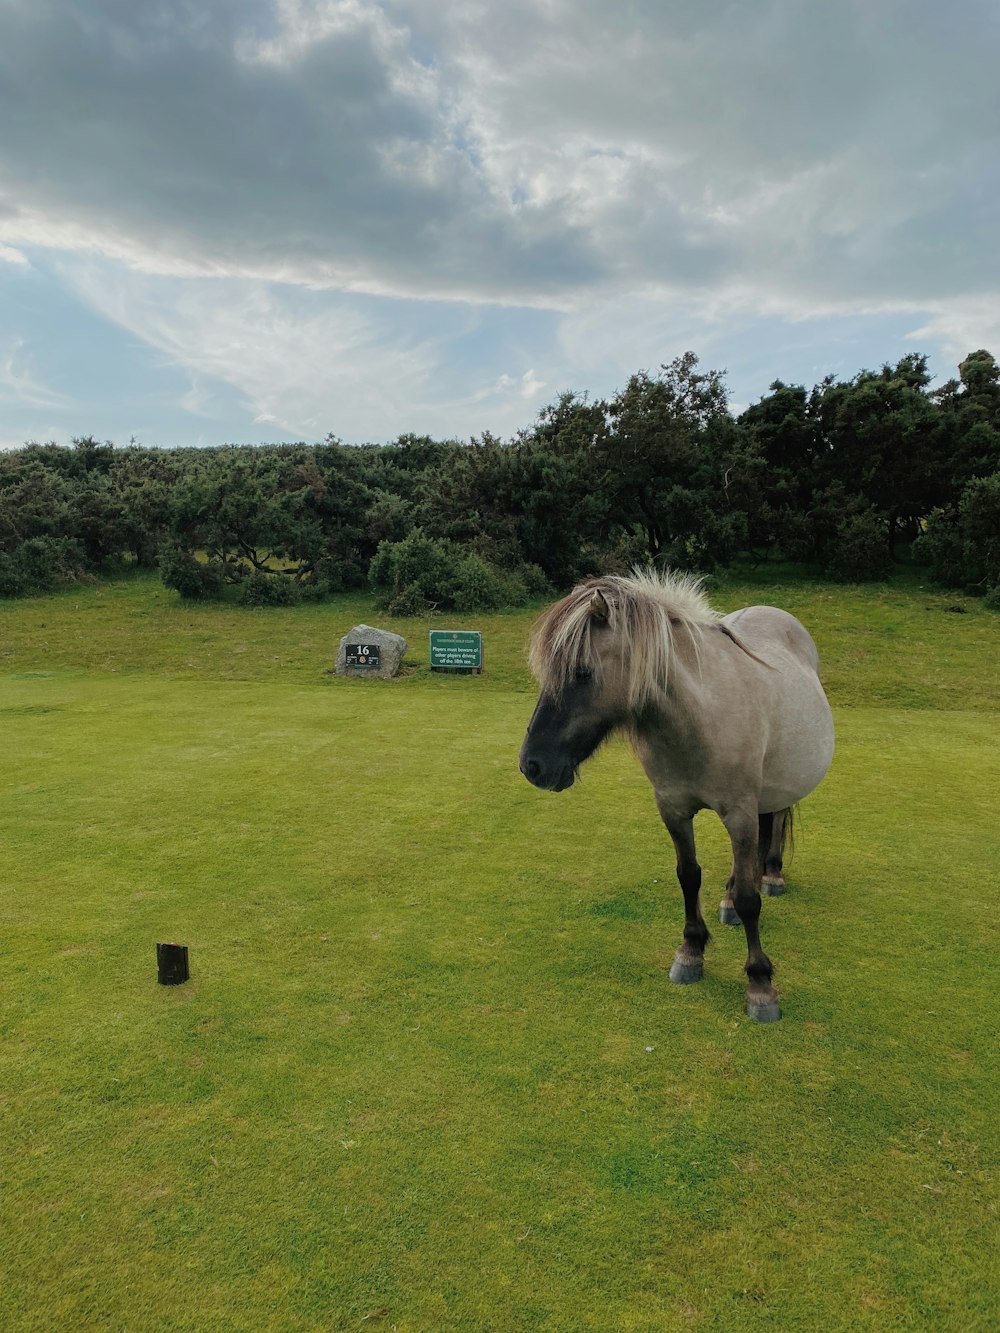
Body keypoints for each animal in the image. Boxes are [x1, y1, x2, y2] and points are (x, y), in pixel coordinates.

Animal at [520, 570, 832, 1018]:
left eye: (581, 673)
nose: (532, 766)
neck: (698, 717)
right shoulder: (673, 809)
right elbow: (689, 876)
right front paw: (691, 951)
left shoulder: (738, 812)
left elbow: (750, 899)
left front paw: (760, 983)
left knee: (773, 824)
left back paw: (771, 873)